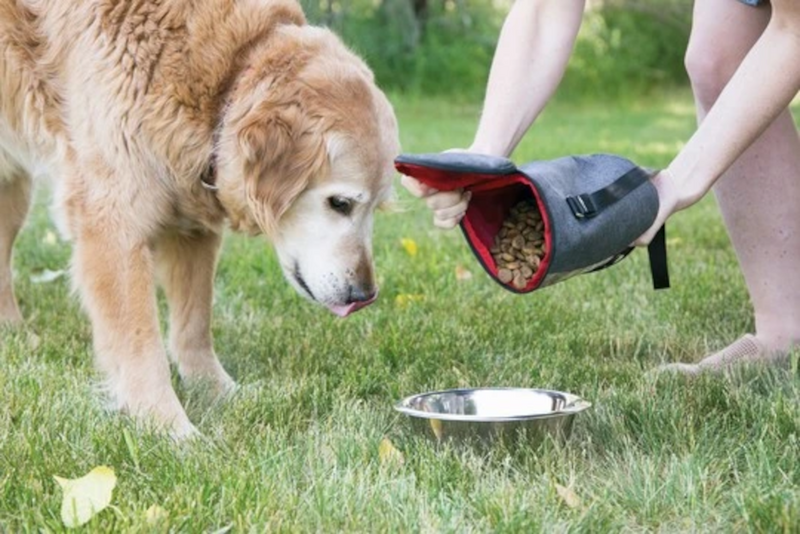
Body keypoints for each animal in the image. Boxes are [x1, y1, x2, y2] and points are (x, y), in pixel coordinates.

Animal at [0, 0, 400, 438]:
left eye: (375, 208)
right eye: (340, 203)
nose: (364, 295)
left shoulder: (191, 225)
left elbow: (195, 323)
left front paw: (218, 390)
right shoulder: (113, 224)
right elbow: (140, 342)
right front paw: (167, 426)